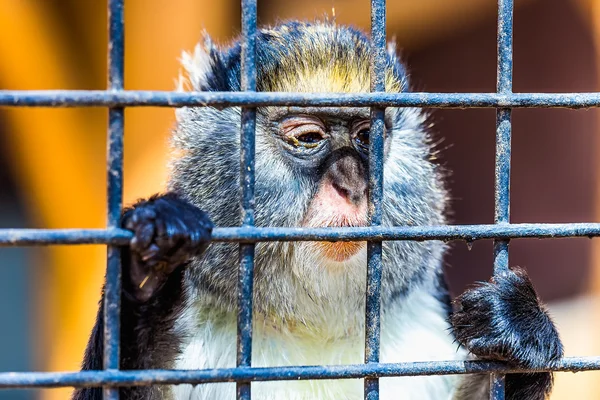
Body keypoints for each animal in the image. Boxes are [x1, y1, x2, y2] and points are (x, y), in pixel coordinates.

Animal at [72, 21, 564, 400]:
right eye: (309, 137)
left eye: (367, 137)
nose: (352, 184)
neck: (310, 330)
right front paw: (149, 263)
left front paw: (519, 328)